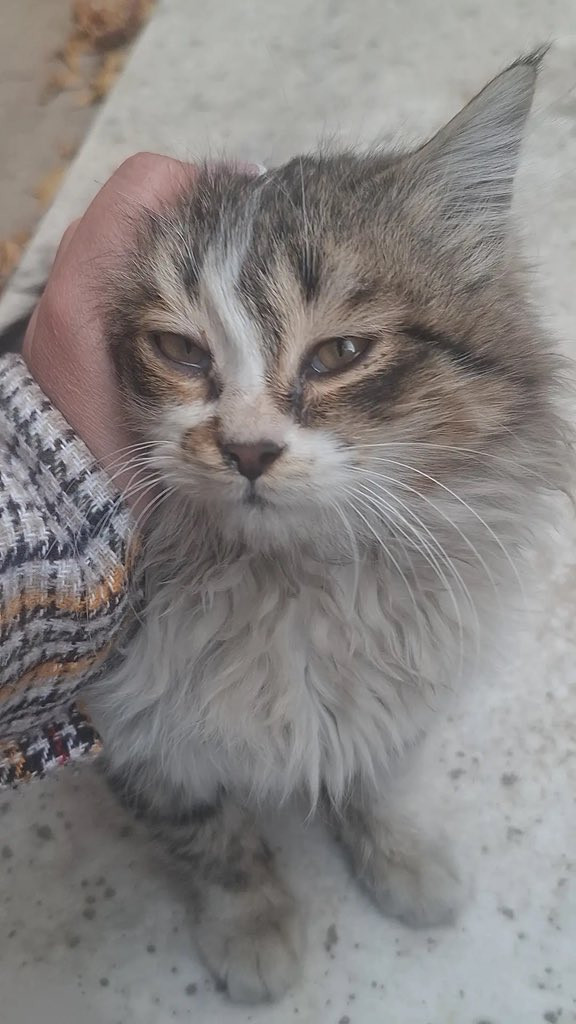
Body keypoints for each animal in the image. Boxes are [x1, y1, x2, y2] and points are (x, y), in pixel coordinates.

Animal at [87, 52, 569, 1003]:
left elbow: (378, 781)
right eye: (182, 352)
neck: (294, 584)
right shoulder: (134, 730)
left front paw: (404, 862)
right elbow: (213, 840)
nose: (246, 449)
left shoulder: (404, 689)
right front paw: (254, 931)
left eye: (340, 354)